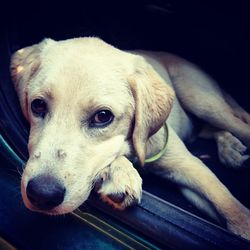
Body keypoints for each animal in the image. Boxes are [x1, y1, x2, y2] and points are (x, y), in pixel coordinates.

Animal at [10, 37, 250, 240]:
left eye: (102, 116)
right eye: (37, 105)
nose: (41, 194)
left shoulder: (189, 165)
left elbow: (230, 206)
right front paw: (119, 172)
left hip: (201, 100)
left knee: (238, 124)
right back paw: (229, 148)